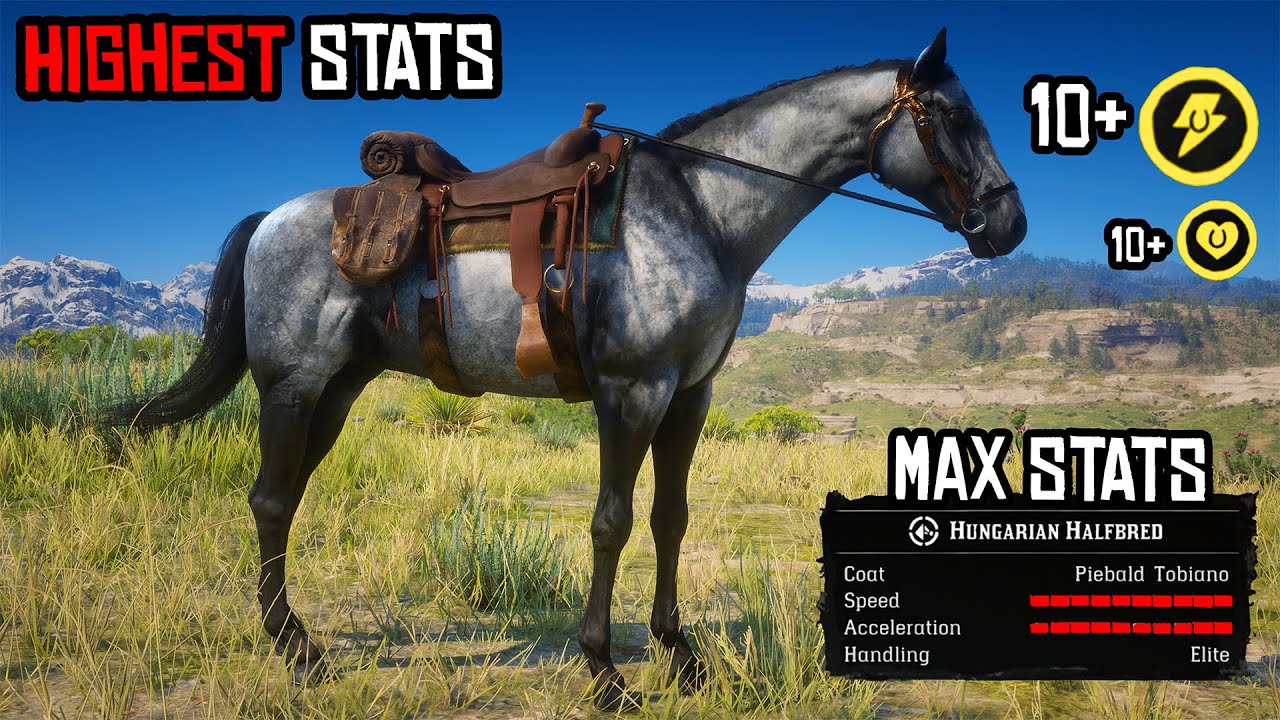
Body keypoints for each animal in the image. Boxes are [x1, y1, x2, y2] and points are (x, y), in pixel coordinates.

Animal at [109, 29, 1026, 710]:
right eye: (949, 113)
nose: (1009, 223)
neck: (702, 210)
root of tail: (271, 218)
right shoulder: (632, 391)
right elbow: (611, 522)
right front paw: (604, 670)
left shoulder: (690, 395)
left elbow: (669, 519)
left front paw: (682, 656)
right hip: (294, 387)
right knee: (270, 501)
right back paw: (294, 652)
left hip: (336, 391)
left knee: (286, 499)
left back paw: (298, 637)